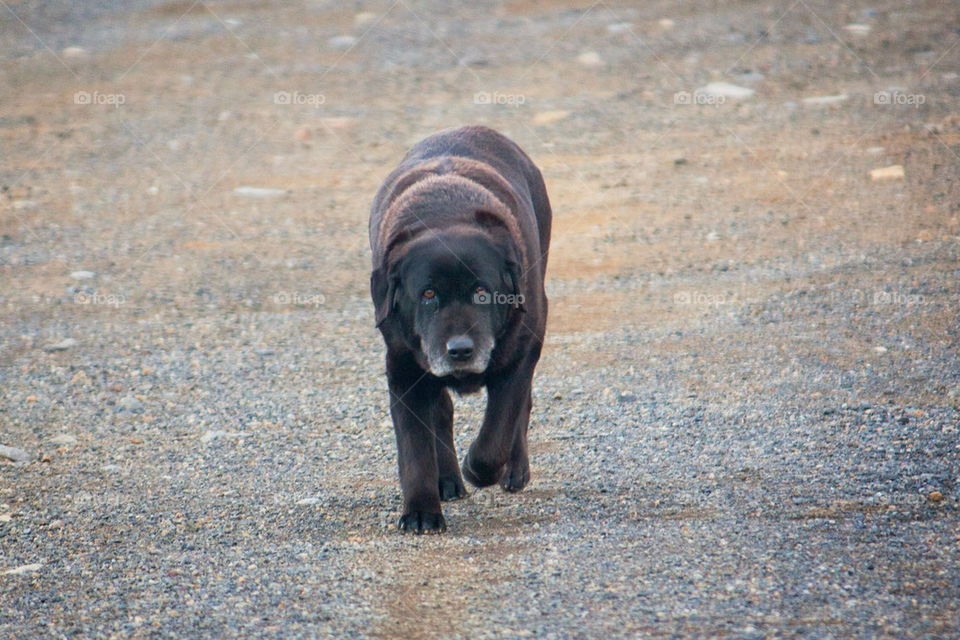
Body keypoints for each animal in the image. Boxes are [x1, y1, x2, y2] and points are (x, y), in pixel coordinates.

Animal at [368, 124, 552, 528]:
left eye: (482, 291)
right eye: (428, 293)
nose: (460, 350)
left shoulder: (520, 355)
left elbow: (497, 434)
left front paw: (477, 469)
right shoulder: (403, 370)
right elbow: (415, 448)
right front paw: (421, 512)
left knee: (522, 408)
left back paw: (513, 471)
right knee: (441, 412)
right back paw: (448, 480)